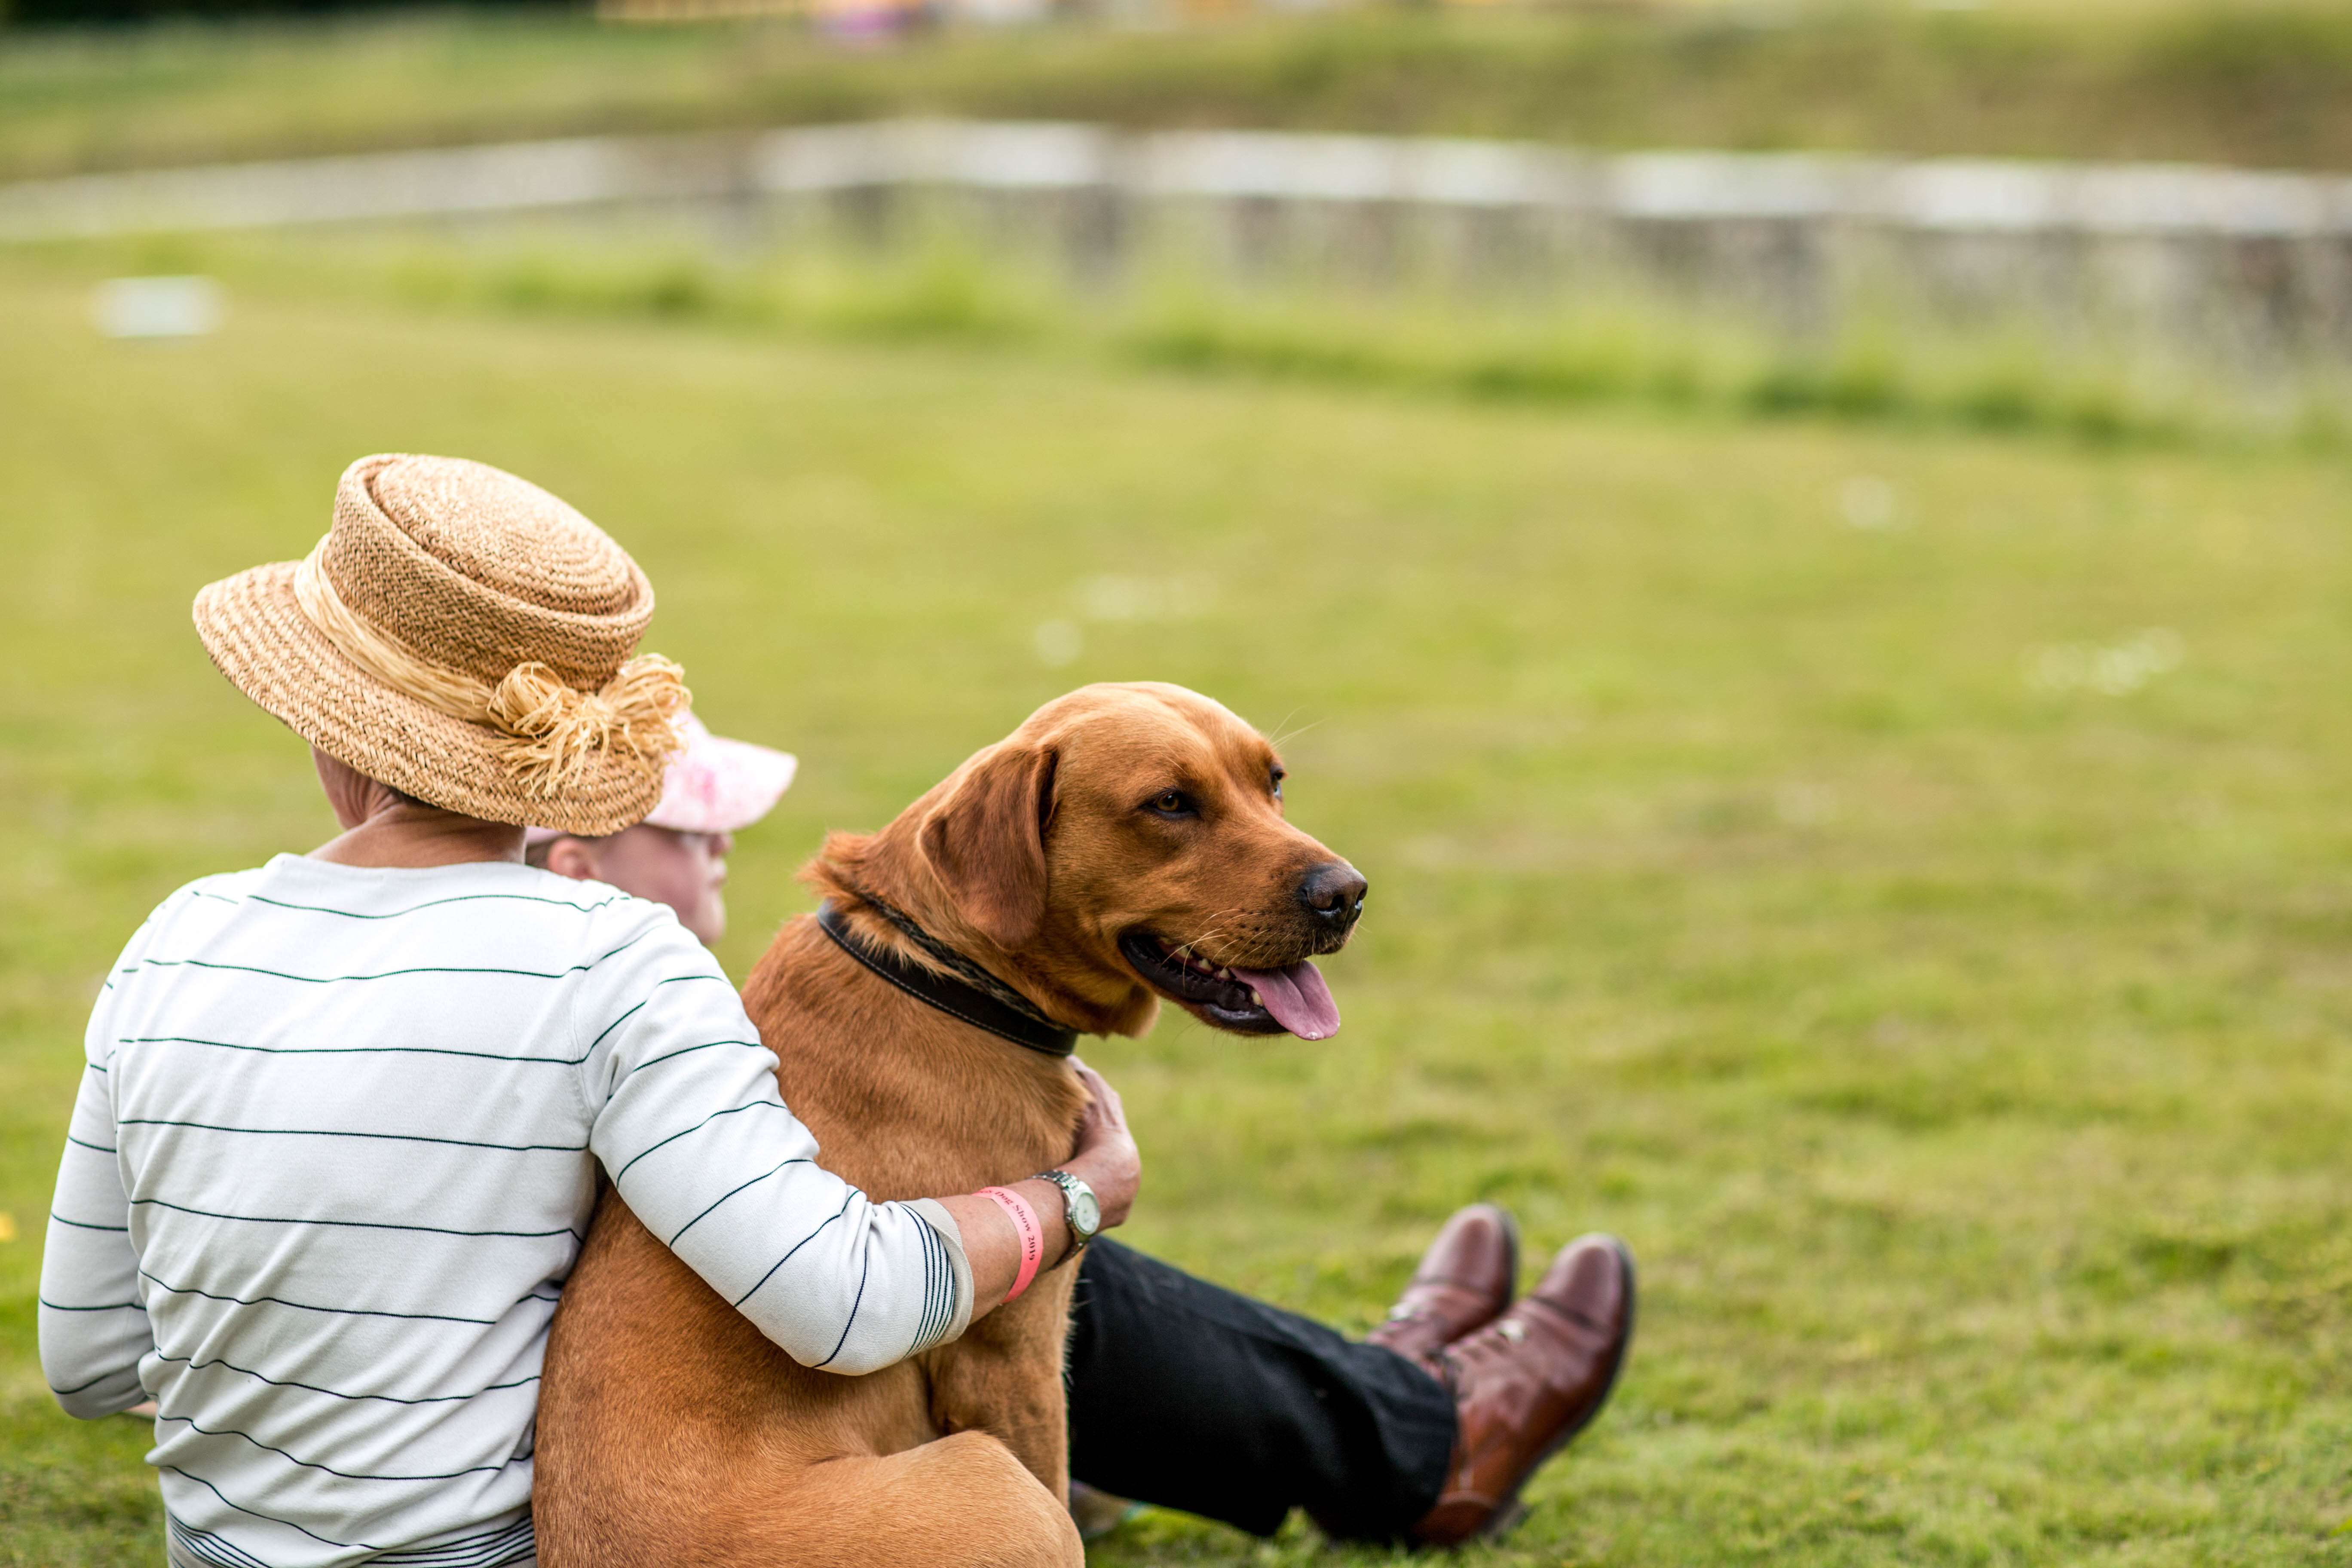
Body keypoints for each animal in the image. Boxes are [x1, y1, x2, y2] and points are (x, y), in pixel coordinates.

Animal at [539, 682, 1364, 1568]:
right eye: (1169, 803)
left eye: (1273, 781)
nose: (1347, 893)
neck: (943, 969)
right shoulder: (1015, 1354)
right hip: (999, 1485)